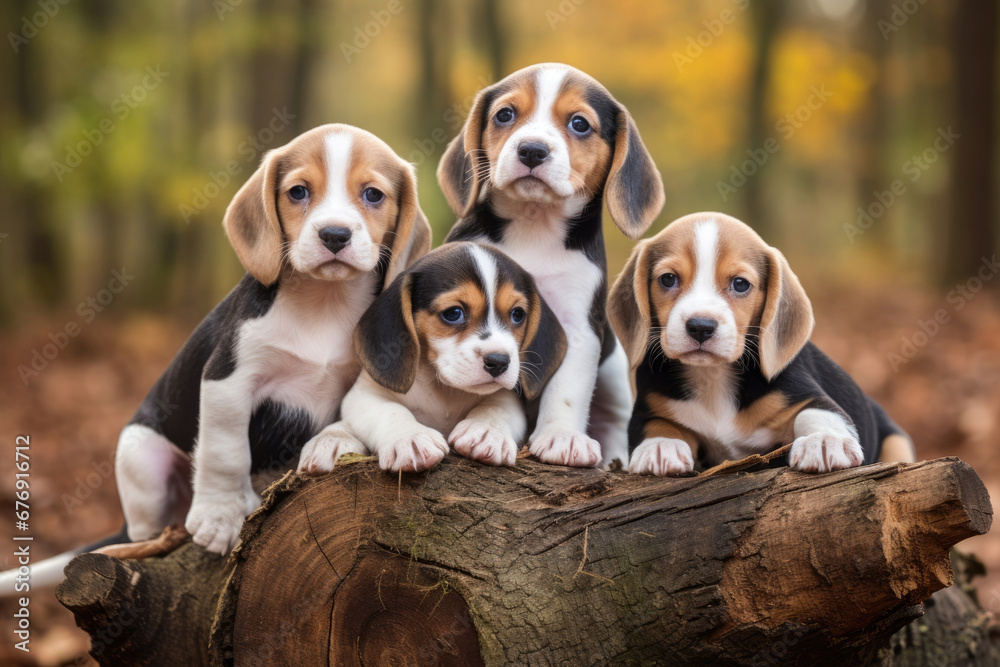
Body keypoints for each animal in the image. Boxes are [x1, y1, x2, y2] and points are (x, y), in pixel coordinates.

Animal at [334, 243, 568, 472]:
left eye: (517, 314)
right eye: (453, 313)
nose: (499, 362)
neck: (446, 391)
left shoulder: (508, 396)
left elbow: (497, 405)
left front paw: (486, 431)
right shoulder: (362, 394)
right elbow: (390, 410)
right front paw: (411, 438)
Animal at [438, 62, 664, 470]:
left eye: (579, 123)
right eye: (505, 115)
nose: (532, 149)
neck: (535, 225)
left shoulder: (579, 327)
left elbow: (568, 389)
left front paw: (562, 437)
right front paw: (488, 428)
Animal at [608, 211, 916, 478]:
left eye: (740, 284)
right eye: (668, 279)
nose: (700, 327)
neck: (712, 375)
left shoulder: (804, 395)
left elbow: (816, 412)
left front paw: (824, 440)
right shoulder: (649, 406)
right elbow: (656, 423)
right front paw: (661, 445)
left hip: (897, 441)